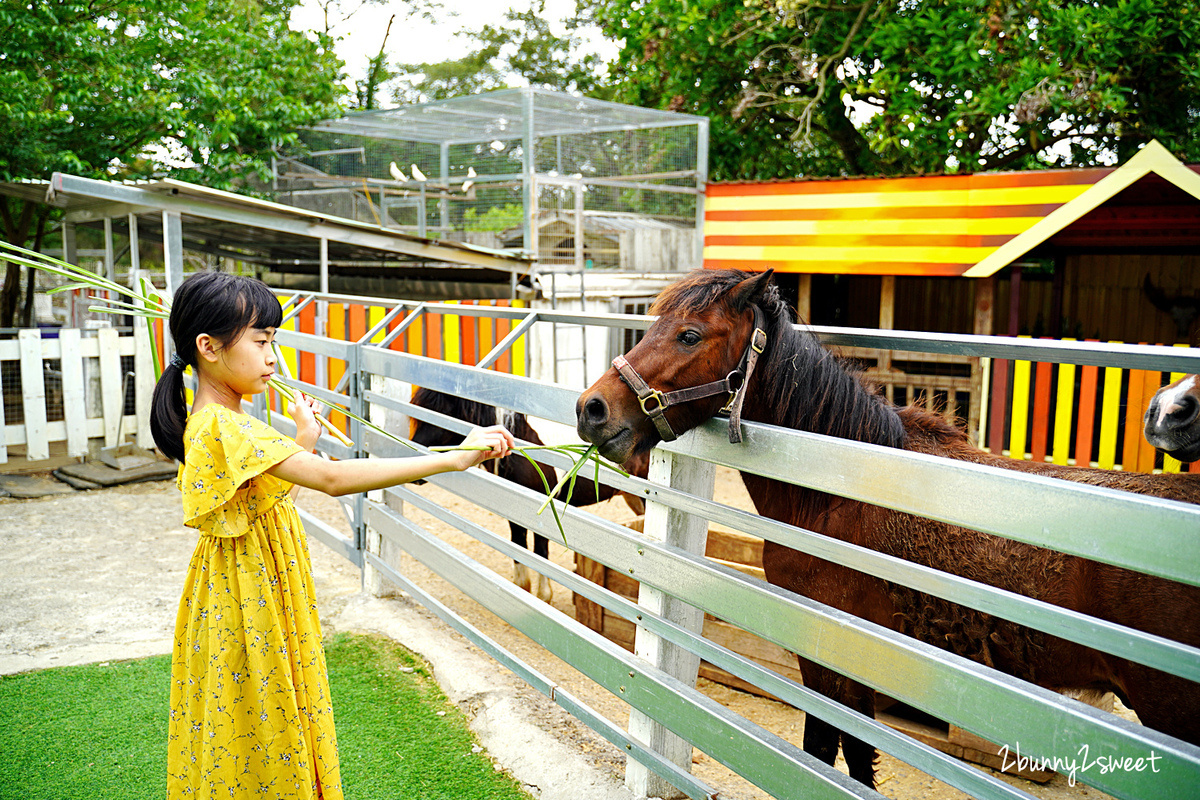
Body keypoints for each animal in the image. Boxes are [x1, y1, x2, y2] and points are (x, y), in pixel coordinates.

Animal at [408, 388, 643, 599]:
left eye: (441, 413)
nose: (416, 458)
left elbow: (541, 556)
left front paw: (543, 597)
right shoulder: (515, 512)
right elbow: (519, 554)